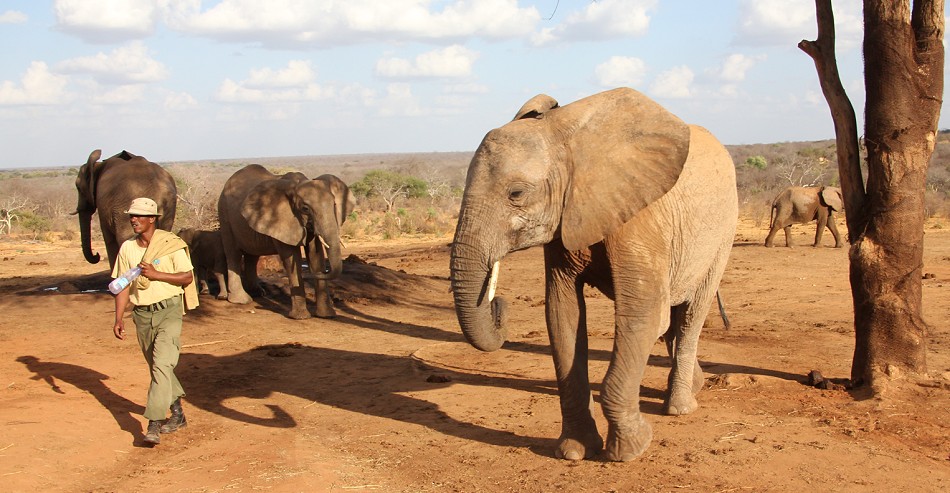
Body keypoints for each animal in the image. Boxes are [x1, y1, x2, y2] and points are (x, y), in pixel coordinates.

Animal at [218, 165, 356, 320]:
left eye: (334, 205)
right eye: (305, 209)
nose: (308, 274)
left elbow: (316, 256)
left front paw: (326, 316)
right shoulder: (282, 221)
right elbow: (291, 258)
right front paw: (300, 317)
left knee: (252, 256)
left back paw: (258, 293)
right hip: (225, 215)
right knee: (233, 254)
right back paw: (241, 300)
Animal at [450, 87, 740, 462]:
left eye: (516, 194)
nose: (499, 303)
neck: (566, 138)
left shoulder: (639, 215)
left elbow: (643, 315)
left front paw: (631, 449)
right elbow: (563, 315)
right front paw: (574, 451)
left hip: (722, 235)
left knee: (691, 315)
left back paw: (679, 408)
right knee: (674, 321)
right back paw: (695, 386)